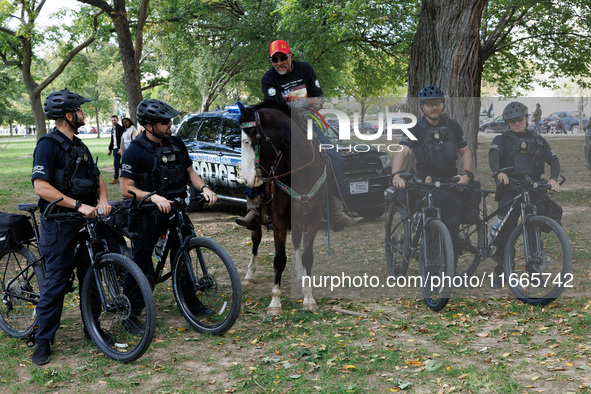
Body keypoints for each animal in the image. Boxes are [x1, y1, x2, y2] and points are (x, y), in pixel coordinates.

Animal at [237, 103, 328, 316]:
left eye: (247, 141)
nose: (246, 179)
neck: (302, 172)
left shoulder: (312, 219)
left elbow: (308, 256)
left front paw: (308, 297)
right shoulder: (279, 220)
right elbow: (279, 259)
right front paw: (275, 302)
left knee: (296, 241)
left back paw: (300, 273)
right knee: (256, 241)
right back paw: (249, 275)